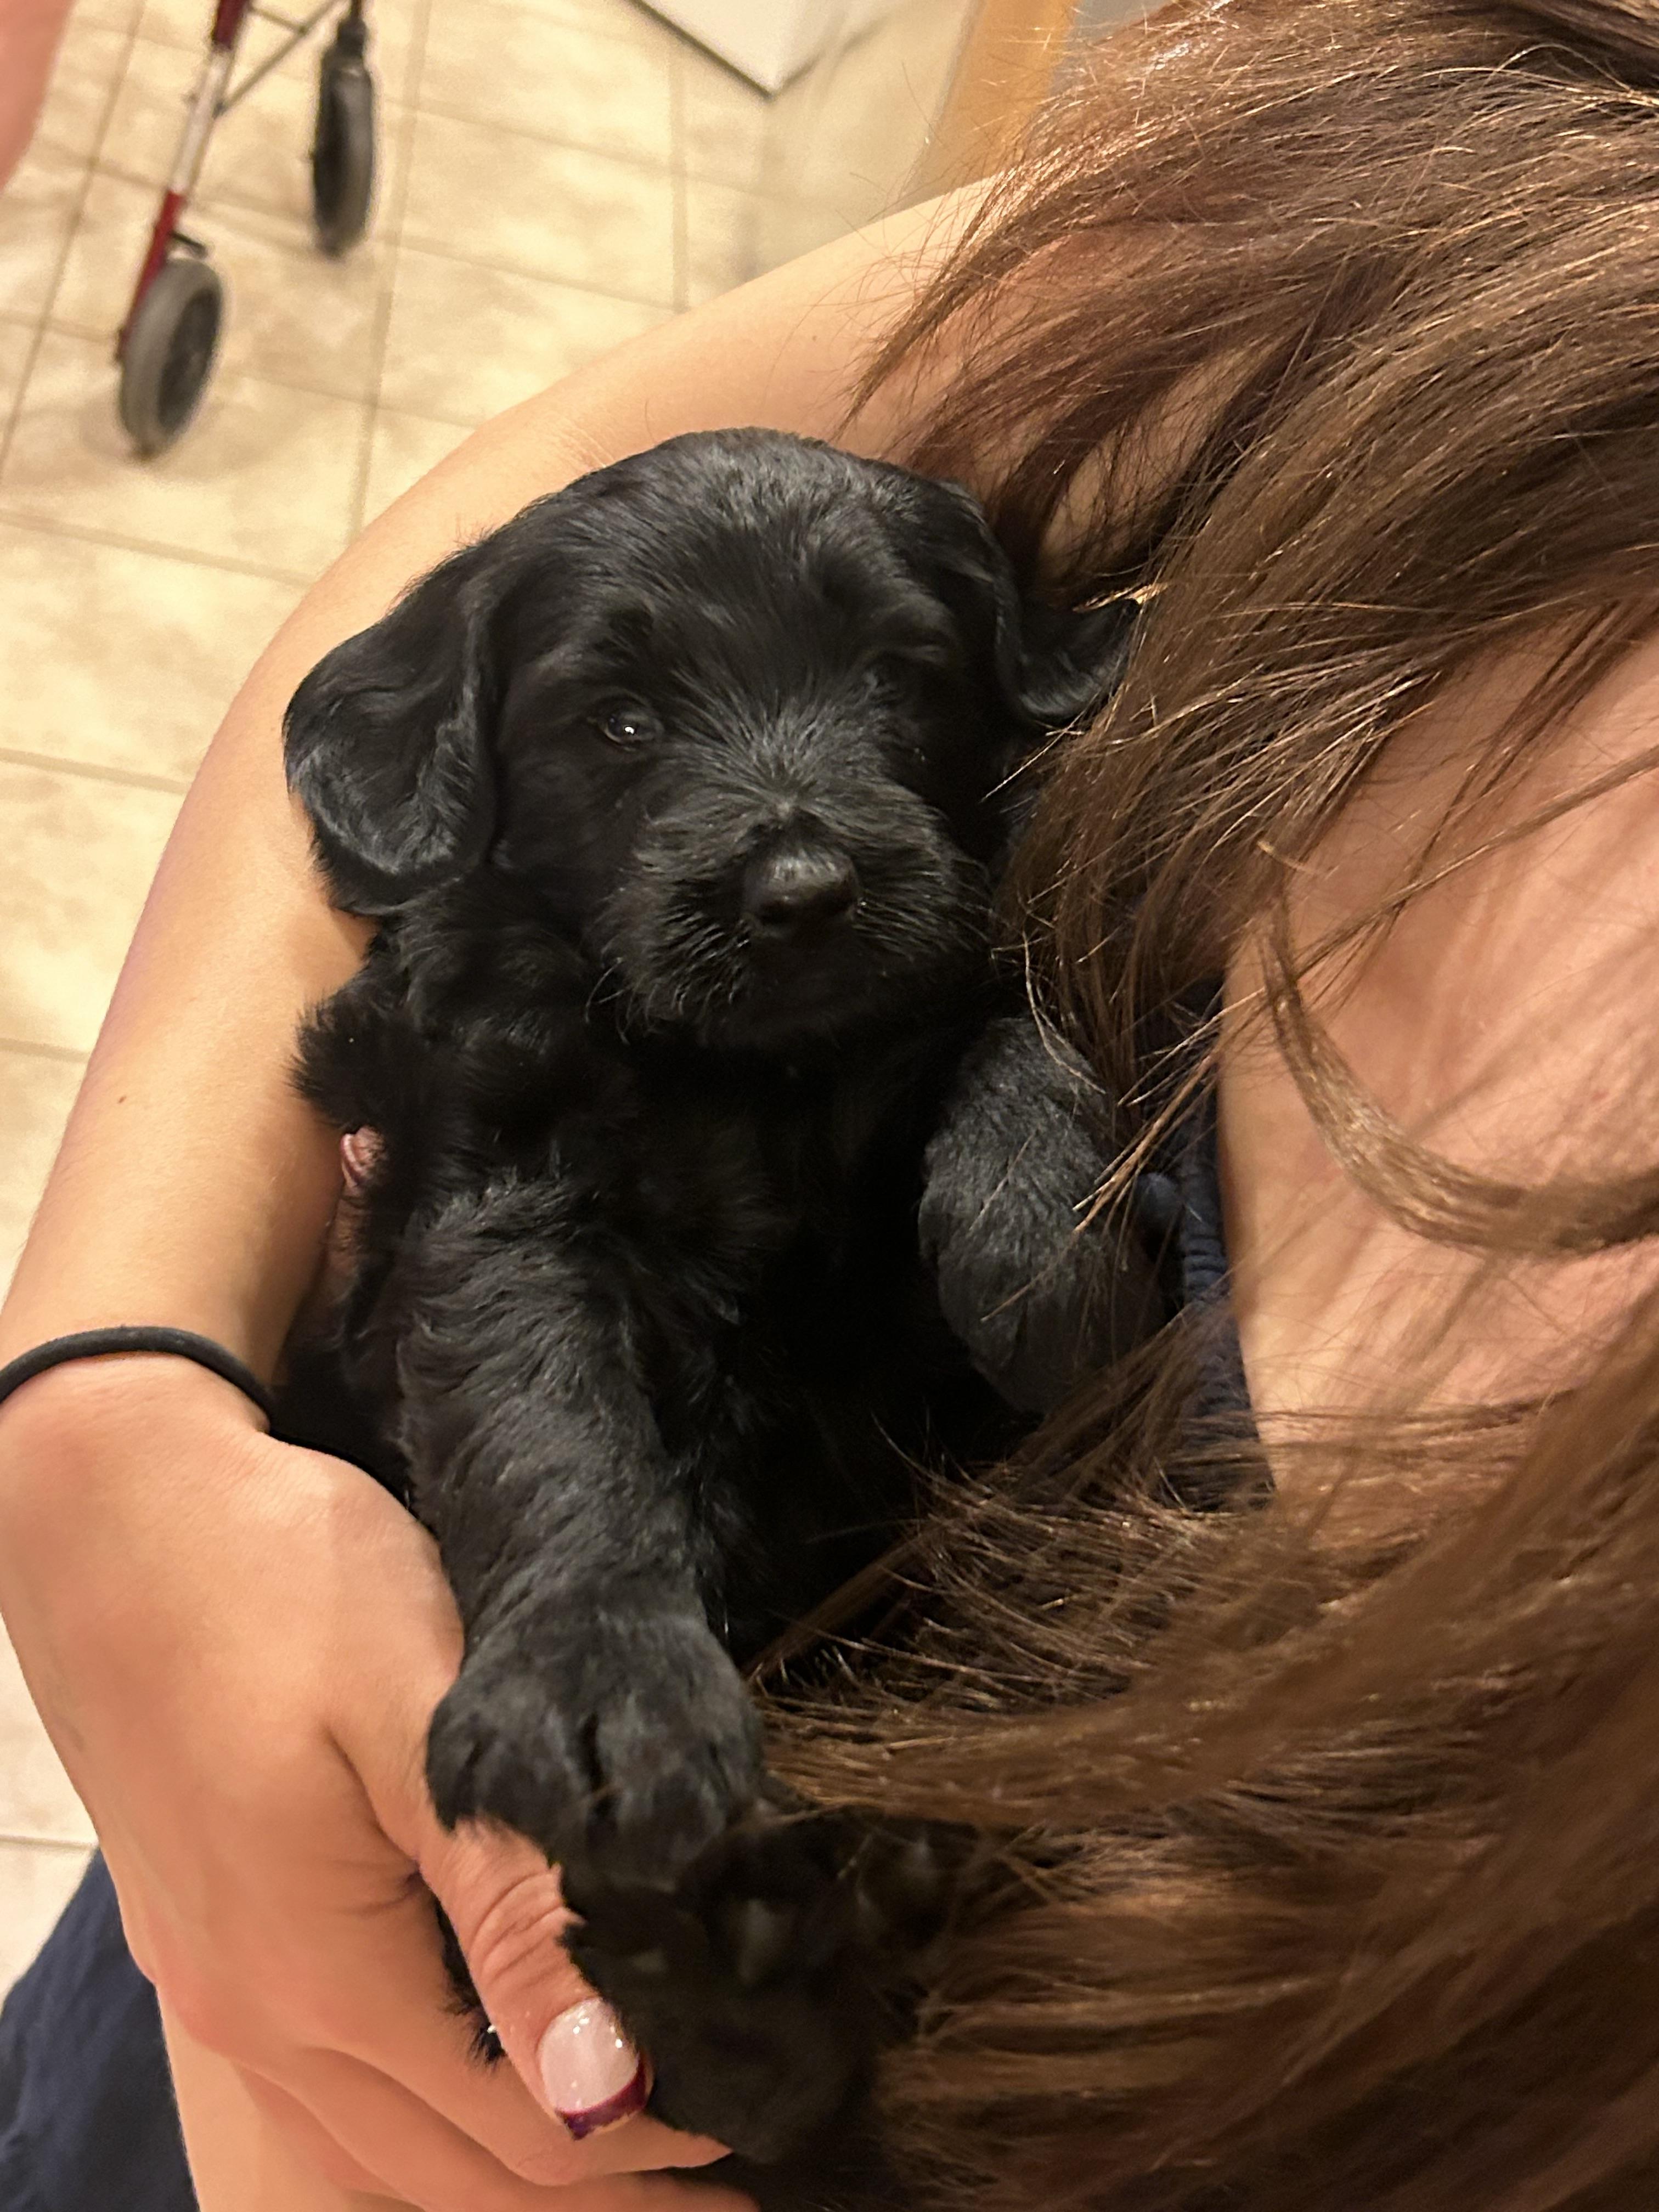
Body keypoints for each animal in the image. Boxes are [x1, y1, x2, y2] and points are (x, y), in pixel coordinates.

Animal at [275, 428, 1158, 2202]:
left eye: (900, 676)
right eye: (619, 722)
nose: (803, 889)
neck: (751, 1079)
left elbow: (999, 1007)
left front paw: (1041, 1239)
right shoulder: (491, 1187)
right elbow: (547, 1416)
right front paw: (602, 1682)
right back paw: (729, 1951)